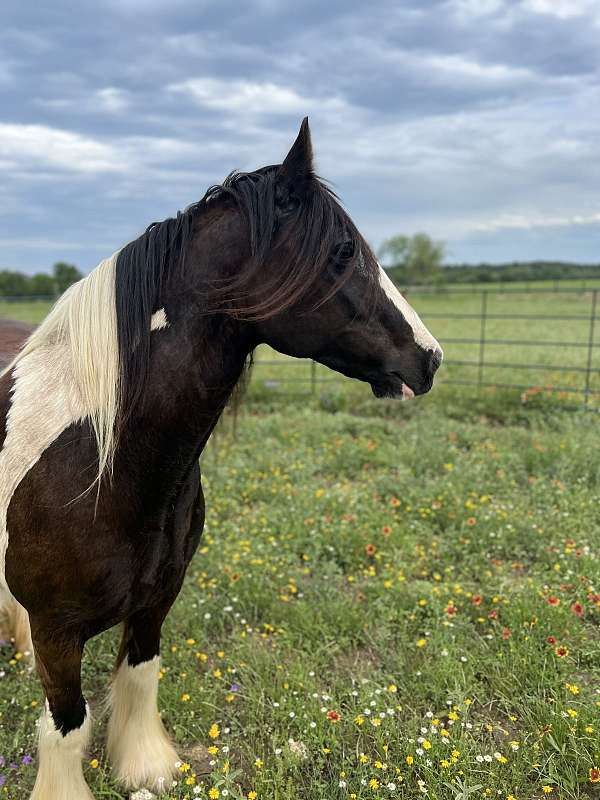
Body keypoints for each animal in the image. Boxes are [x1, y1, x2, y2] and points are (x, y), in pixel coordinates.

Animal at [0, 120, 440, 800]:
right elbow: (67, 728)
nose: (430, 358)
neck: (99, 464)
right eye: (343, 251)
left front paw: (145, 767)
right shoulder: (56, 630)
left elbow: (139, 675)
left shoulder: (157, 600)